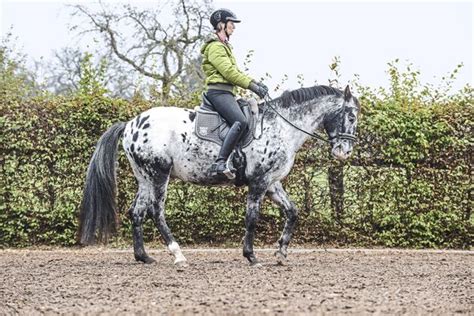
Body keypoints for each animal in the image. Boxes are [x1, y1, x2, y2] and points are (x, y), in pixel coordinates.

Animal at [78, 84, 360, 266]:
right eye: (351, 116)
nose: (344, 152)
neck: (280, 126)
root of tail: (130, 124)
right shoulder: (259, 182)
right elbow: (251, 218)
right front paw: (251, 255)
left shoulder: (272, 182)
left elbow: (293, 212)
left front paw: (281, 253)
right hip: (159, 175)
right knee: (156, 212)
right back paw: (177, 254)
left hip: (144, 177)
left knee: (137, 212)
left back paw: (143, 257)